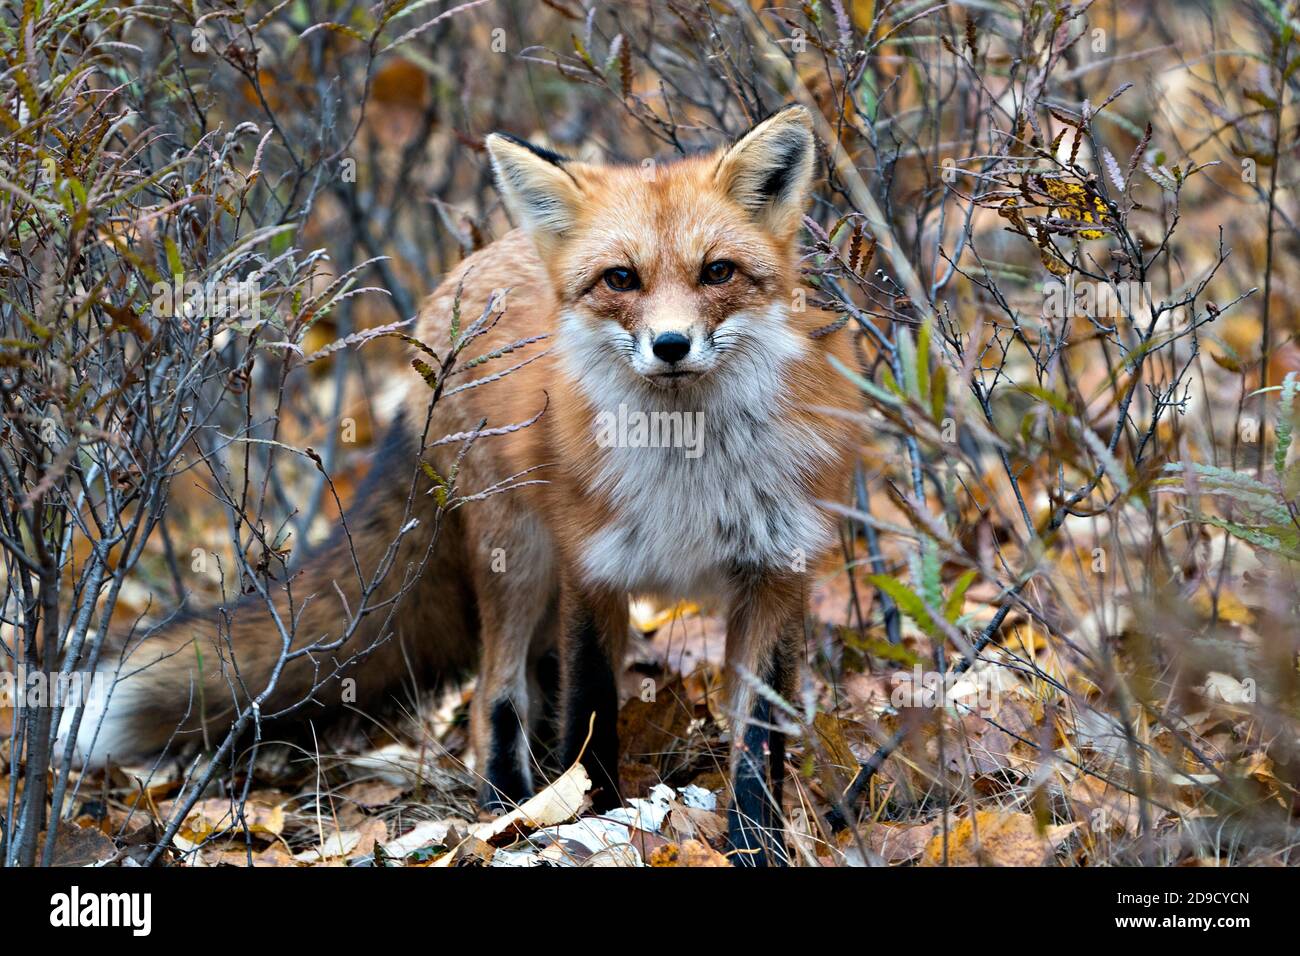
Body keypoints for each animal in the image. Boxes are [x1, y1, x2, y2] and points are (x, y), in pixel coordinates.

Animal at [63, 105, 860, 865]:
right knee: (496, 692)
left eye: (717, 273)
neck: (688, 470)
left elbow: (757, 745)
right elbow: (592, 711)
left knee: (531, 681)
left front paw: (756, 844)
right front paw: (598, 819)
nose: (670, 345)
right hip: (518, 552)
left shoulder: (774, 574)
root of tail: (464, 271)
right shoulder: (593, 568)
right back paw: (505, 808)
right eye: (621, 279)